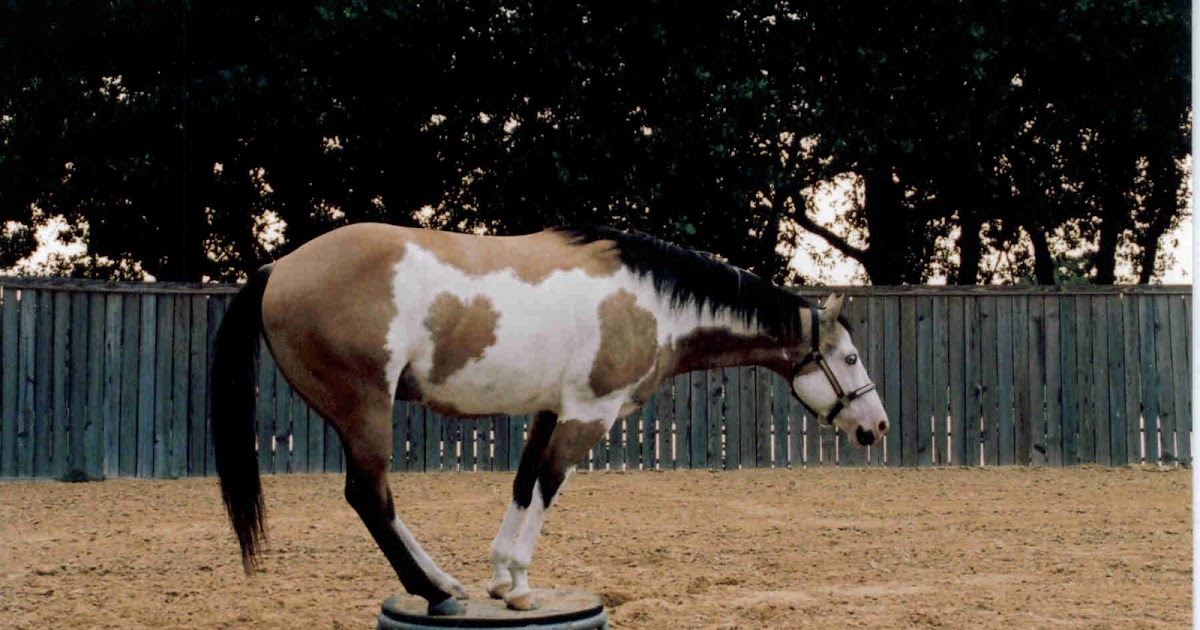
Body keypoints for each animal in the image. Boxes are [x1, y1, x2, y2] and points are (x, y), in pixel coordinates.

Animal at [210, 222, 889, 615]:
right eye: (850, 357)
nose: (875, 428)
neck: (653, 301)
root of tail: (279, 267)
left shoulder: (548, 411)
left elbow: (521, 483)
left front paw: (497, 578)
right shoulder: (590, 415)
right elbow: (548, 485)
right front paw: (518, 583)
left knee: (376, 500)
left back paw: (446, 584)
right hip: (364, 408)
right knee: (370, 497)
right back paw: (436, 592)